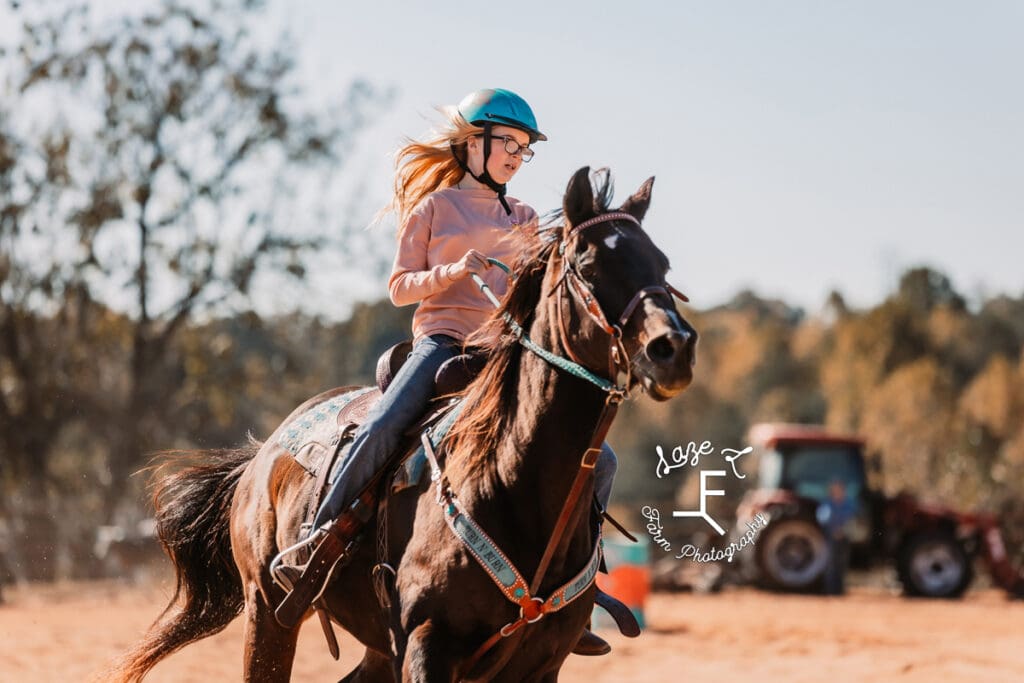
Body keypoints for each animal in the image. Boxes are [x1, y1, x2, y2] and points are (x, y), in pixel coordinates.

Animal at [116, 166, 700, 683]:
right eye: (587, 263)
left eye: (663, 264)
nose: (673, 348)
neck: (513, 483)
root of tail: (262, 456)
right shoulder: (426, 646)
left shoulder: (538, 665)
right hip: (268, 612)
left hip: (375, 649)